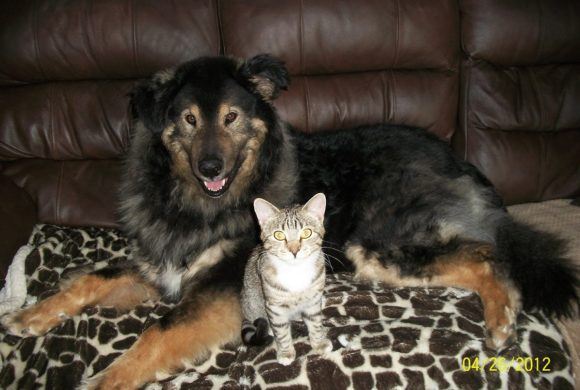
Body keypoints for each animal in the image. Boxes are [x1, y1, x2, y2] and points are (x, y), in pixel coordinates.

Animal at [239, 193, 330, 366]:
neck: (295, 272)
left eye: (306, 233)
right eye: (279, 235)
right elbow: (281, 331)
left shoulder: (313, 300)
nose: (294, 251)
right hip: (253, 302)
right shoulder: (275, 306)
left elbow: (315, 323)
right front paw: (286, 352)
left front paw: (319, 342)